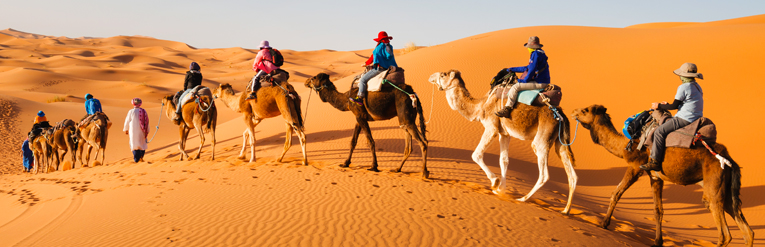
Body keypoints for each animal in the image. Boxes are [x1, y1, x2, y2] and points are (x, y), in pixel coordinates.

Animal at [426, 69, 576, 214]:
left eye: (443, 74)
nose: (430, 76)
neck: (481, 106)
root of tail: (560, 115)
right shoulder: (504, 134)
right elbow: (504, 160)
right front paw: (501, 190)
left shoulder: (491, 128)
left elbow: (476, 155)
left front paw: (495, 183)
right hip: (560, 142)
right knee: (572, 175)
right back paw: (566, 210)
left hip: (543, 137)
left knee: (544, 173)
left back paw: (522, 199)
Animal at [568, 104, 752, 247]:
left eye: (585, 110)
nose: (573, 111)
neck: (626, 144)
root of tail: (730, 160)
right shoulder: (656, 176)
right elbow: (658, 210)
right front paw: (658, 241)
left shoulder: (635, 166)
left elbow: (616, 193)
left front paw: (604, 224)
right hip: (726, 189)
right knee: (746, 231)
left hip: (713, 184)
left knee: (724, 233)